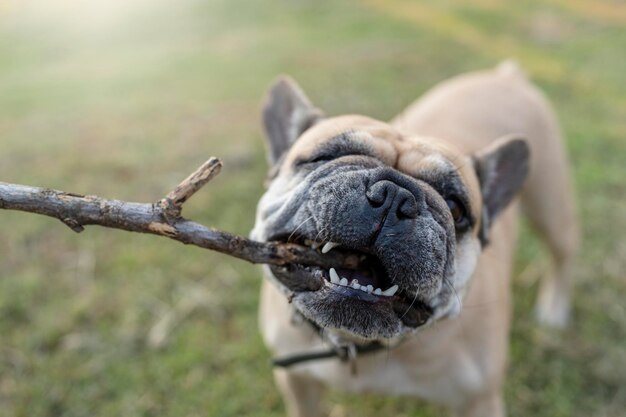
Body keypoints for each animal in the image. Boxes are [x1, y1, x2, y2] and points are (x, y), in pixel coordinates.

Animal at [247, 61, 576, 416]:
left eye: (455, 208)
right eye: (323, 159)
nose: (392, 195)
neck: (359, 343)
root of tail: (507, 75)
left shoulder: (480, 401)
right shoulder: (297, 380)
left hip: (552, 208)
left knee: (562, 255)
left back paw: (554, 311)